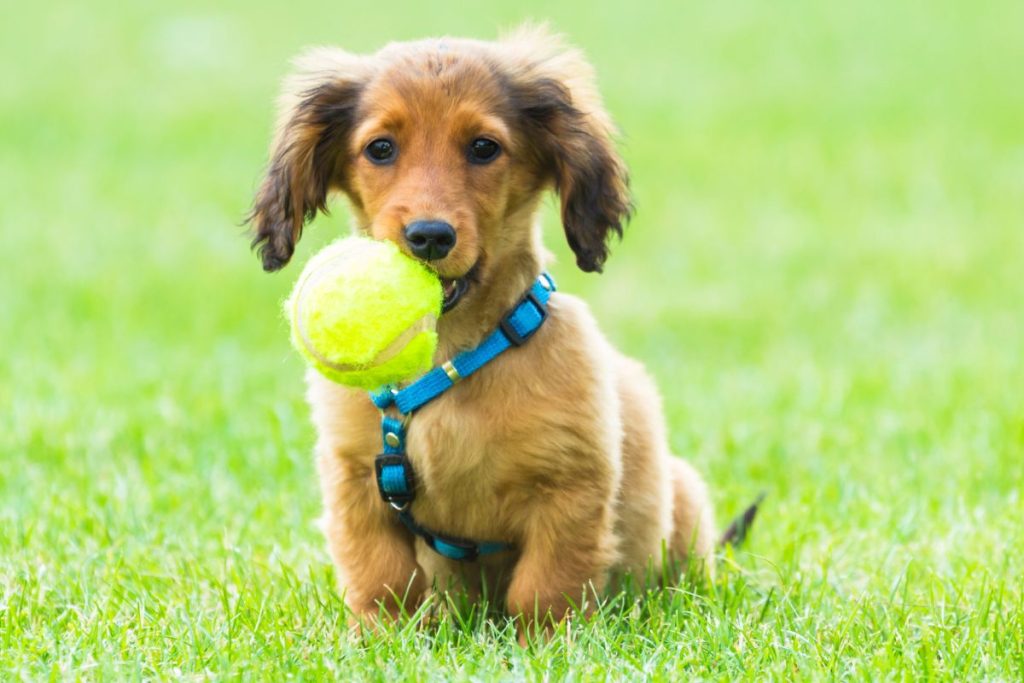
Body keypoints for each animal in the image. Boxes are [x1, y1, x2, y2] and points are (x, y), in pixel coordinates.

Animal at [248, 26, 717, 634]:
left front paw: (548, 644)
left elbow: (546, 585)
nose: (429, 236)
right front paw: (380, 638)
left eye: (483, 147)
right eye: (381, 148)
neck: (449, 356)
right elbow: (380, 574)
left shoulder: (570, 484)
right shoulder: (355, 477)